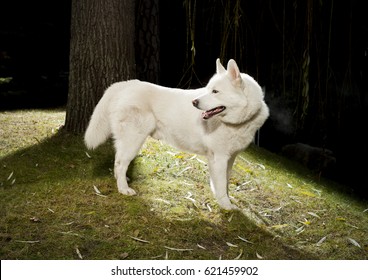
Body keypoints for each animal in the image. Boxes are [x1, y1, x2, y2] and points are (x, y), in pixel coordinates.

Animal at [85, 58, 268, 209]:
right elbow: (222, 186)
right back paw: (124, 188)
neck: (238, 122)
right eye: (209, 89)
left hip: (127, 141)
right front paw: (227, 206)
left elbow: (225, 183)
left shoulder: (230, 158)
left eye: (215, 91)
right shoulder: (220, 158)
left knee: (118, 161)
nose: (194, 102)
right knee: (120, 163)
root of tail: (126, 84)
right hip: (134, 140)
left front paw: (225, 200)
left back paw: (121, 181)